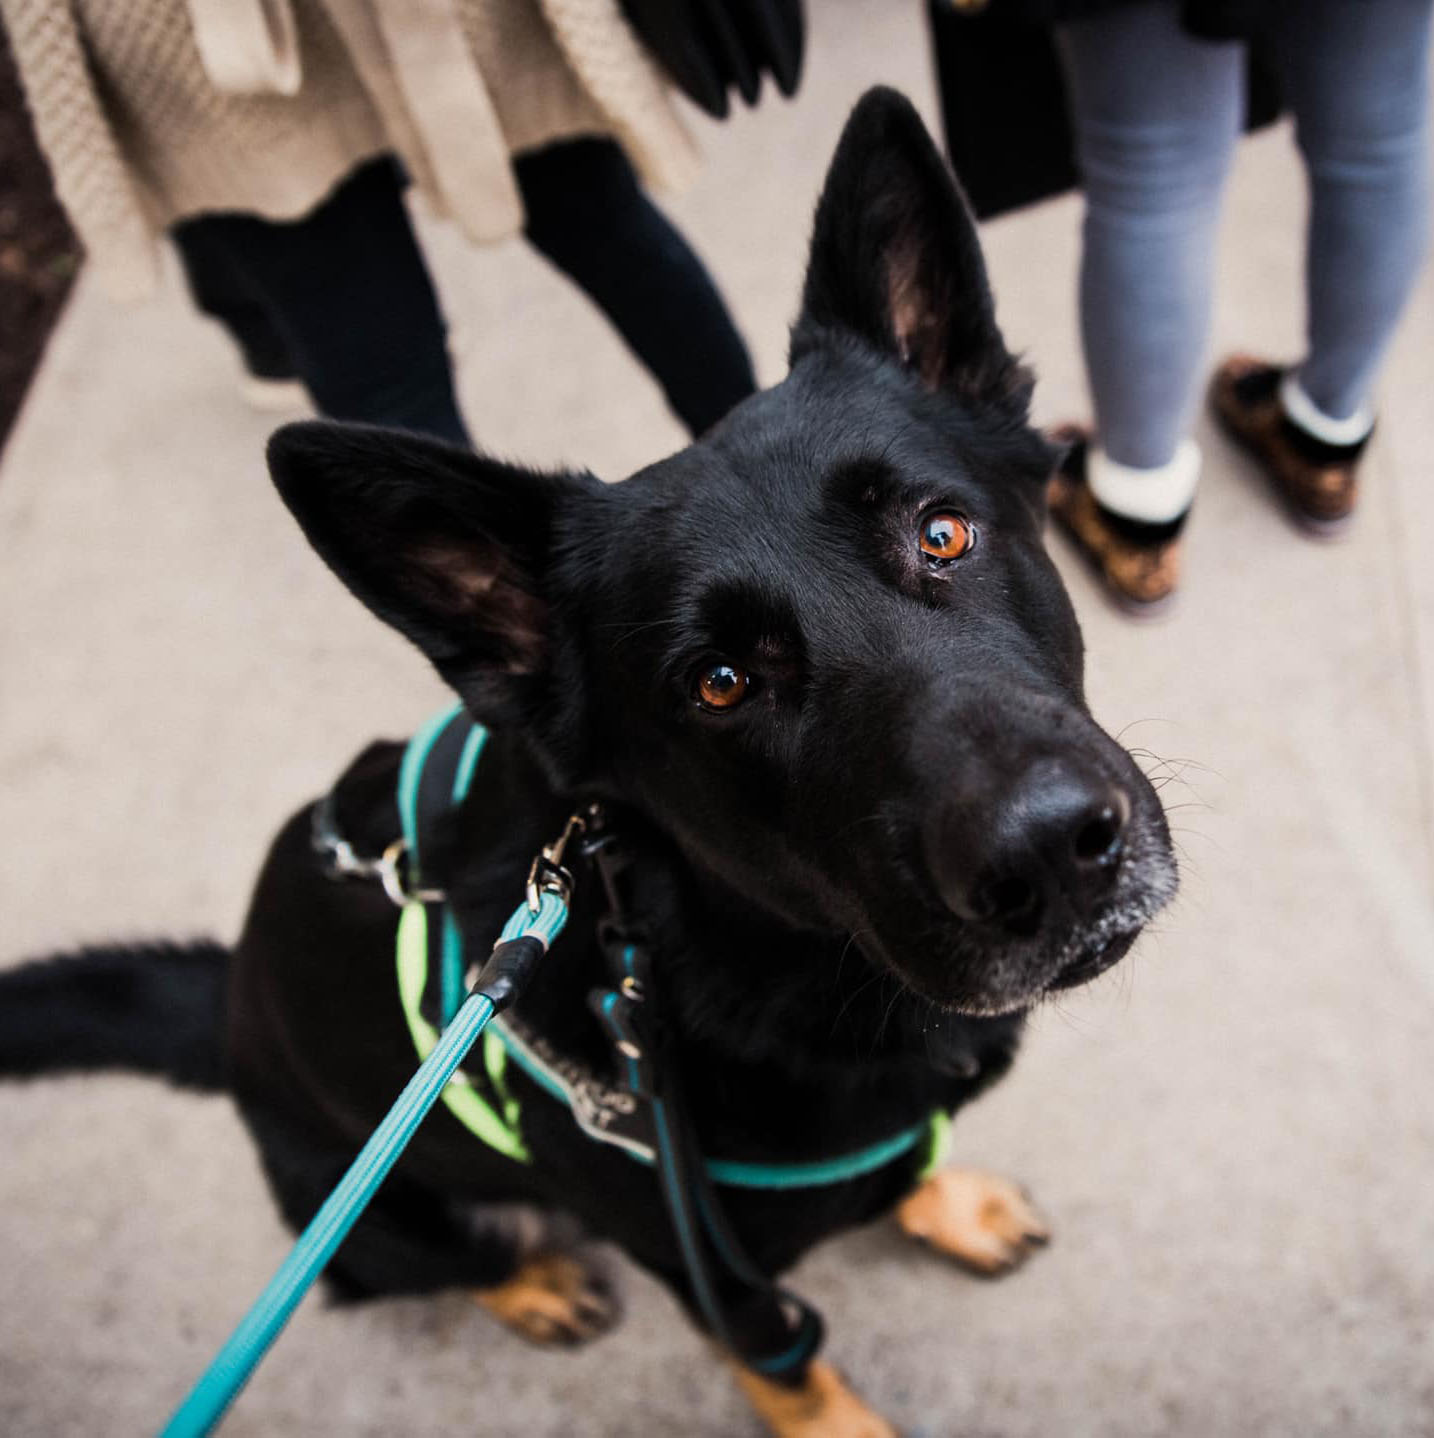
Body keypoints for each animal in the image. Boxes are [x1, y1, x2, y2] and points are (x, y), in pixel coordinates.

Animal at [0, 92, 1173, 1438]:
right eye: (717, 683)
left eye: (942, 533)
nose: (1050, 854)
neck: (734, 950)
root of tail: (233, 991)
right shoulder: (708, 1268)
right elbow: (792, 1368)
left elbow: (908, 1162)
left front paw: (949, 1199)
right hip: (377, 1215)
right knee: (406, 1264)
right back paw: (532, 1280)